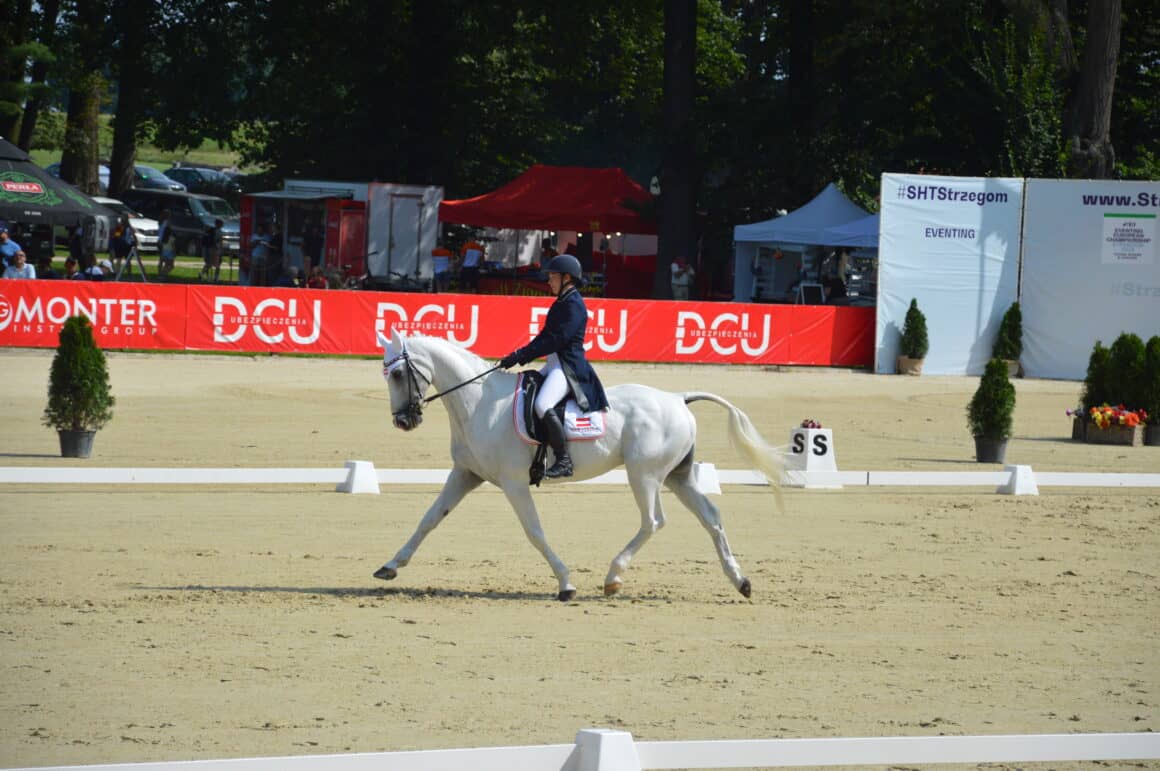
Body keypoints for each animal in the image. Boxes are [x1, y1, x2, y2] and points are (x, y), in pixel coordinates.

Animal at [375, 326, 784, 598]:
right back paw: (741, 581)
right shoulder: (466, 474)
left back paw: (613, 578)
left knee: (653, 521)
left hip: (645, 475)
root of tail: (678, 398)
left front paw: (566, 583)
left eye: (397, 373)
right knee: (711, 517)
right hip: (677, 476)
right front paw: (390, 566)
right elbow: (429, 520)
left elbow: (535, 532)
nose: (403, 421)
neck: (478, 402)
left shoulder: (513, 482)